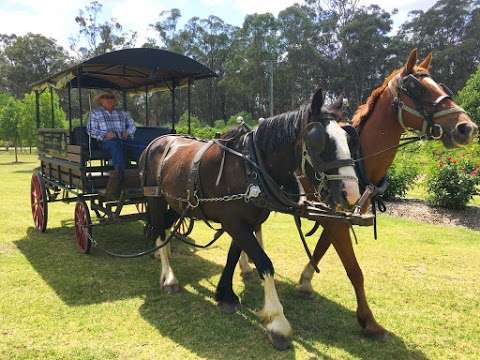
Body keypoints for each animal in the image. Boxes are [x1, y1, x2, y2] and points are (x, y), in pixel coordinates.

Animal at [141, 88, 362, 350]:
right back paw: (169, 278)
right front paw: (277, 322)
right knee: (159, 229)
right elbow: (264, 263)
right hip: (155, 198)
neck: (251, 167)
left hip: (179, 204)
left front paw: (225, 295)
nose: (351, 194)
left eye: (348, 139)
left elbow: (233, 256)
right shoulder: (234, 222)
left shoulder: (245, 222)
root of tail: (159, 141)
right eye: (319, 141)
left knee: (163, 227)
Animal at [298, 49, 478, 338]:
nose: (467, 128)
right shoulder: (334, 218)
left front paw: (305, 281)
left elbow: (321, 248)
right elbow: (354, 269)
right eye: (415, 88)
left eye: (441, 86)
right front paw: (369, 320)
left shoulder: (336, 217)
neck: (358, 159)